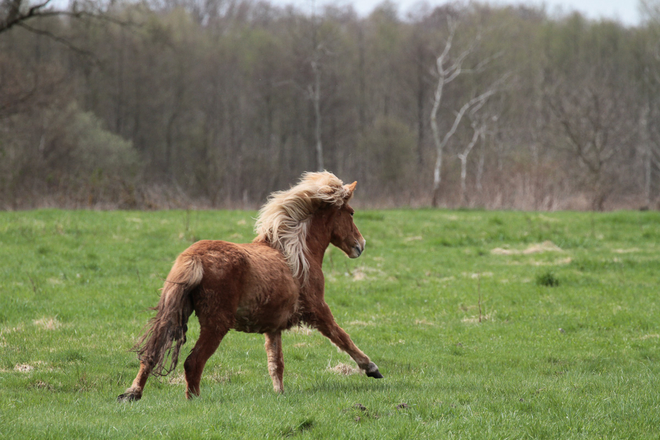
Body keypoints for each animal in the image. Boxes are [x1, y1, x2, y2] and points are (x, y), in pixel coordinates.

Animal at [118, 172, 382, 402]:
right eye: (351, 212)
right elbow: (341, 337)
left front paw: (279, 394)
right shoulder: (318, 310)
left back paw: (132, 393)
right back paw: (194, 400)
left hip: (174, 313)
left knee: (151, 354)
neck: (295, 252)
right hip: (216, 324)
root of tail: (194, 259)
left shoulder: (273, 327)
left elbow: (276, 363)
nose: (361, 245)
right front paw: (371, 368)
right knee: (193, 362)